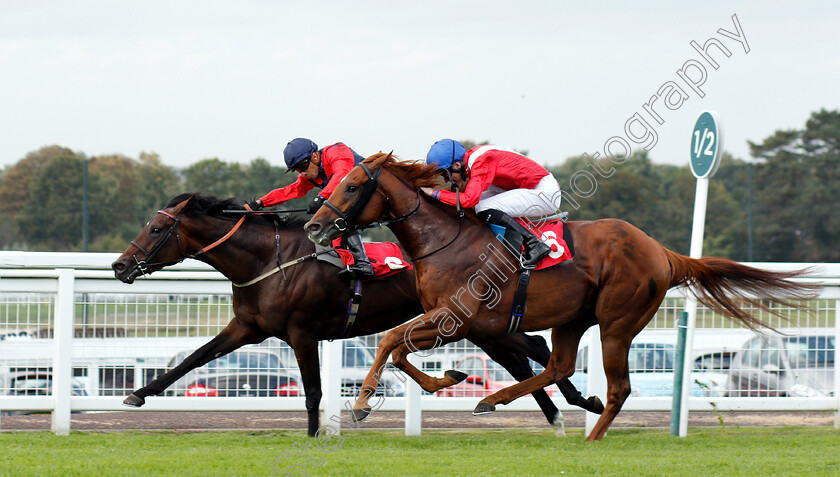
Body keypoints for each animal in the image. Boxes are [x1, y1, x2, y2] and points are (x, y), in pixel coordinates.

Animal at [111, 192, 604, 436]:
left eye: (157, 227)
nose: (119, 266)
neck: (268, 260)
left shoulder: (302, 333)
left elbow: (312, 391)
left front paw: (314, 435)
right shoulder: (248, 327)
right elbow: (195, 358)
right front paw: (138, 393)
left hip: (474, 322)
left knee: (529, 349)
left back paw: (575, 404)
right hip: (476, 324)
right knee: (523, 355)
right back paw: (562, 412)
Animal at [304, 152, 820, 438]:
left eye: (352, 185)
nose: (313, 226)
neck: (444, 240)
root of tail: (662, 252)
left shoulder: (458, 317)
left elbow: (393, 342)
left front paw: (362, 403)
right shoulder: (456, 321)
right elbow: (398, 348)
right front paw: (447, 378)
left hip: (617, 322)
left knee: (615, 385)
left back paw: (589, 434)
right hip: (573, 318)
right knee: (560, 366)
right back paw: (502, 400)